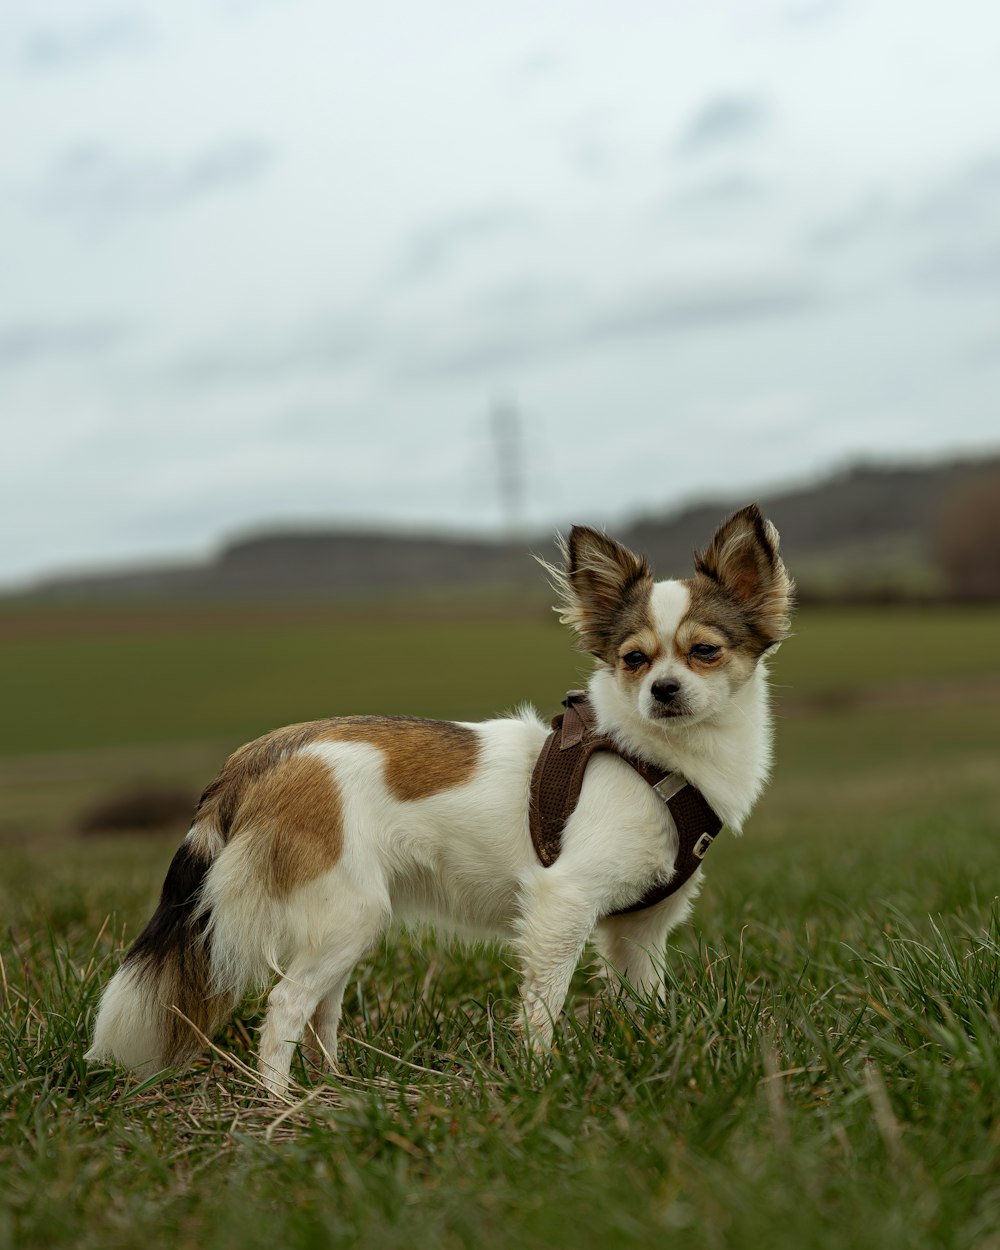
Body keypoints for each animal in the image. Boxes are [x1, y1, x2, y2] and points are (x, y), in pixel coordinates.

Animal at [86, 505, 795, 1095]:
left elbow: (646, 1000)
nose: (663, 691)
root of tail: (268, 754)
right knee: (287, 1005)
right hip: (349, 913)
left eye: (704, 652)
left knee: (321, 1009)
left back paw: (340, 1088)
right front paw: (541, 1076)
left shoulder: (639, 931)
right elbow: (544, 1005)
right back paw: (282, 1105)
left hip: (346, 923)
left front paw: (656, 1054)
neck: (654, 758)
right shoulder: (560, 904)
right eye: (635, 660)